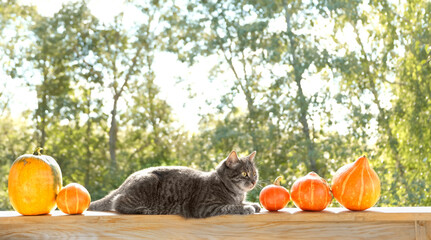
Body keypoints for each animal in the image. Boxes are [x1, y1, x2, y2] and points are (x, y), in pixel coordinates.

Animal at [88, 151, 260, 218]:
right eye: (244, 174)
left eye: (254, 173)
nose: (253, 181)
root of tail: (126, 181)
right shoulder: (205, 207)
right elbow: (230, 207)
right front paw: (247, 208)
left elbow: (239, 202)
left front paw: (253, 204)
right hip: (147, 182)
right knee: (117, 202)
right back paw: (144, 210)